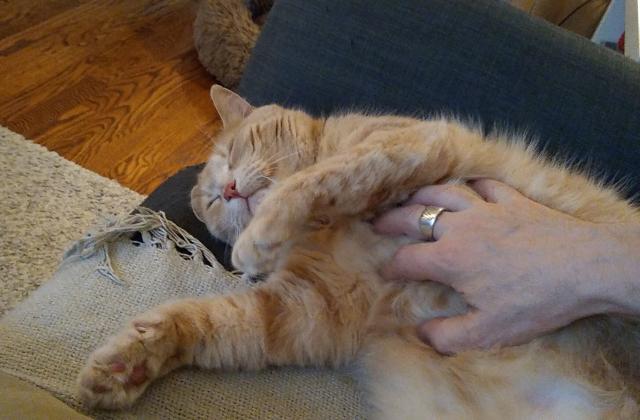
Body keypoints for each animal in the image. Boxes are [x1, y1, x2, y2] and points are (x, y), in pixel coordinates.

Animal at [79, 84, 640, 416]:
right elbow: (203, 322)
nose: (233, 189)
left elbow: (322, 176)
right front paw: (130, 363)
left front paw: (259, 235)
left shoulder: (410, 144)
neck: (323, 228)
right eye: (215, 200)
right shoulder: (305, 310)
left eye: (236, 151)